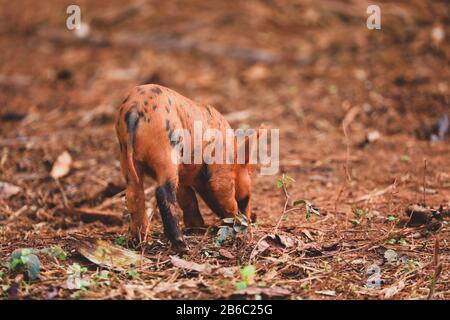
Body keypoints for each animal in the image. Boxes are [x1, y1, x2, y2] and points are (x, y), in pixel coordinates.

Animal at [114, 84, 258, 250]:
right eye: (247, 197)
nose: (252, 218)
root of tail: (134, 111)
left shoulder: (183, 176)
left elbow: (188, 199)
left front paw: (197, 227)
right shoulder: (220, 172)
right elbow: (226, 197)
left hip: (125, 154)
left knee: (134, 194)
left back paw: (138, 242)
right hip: (166, 152)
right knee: (162, 192)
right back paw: (182, 245)